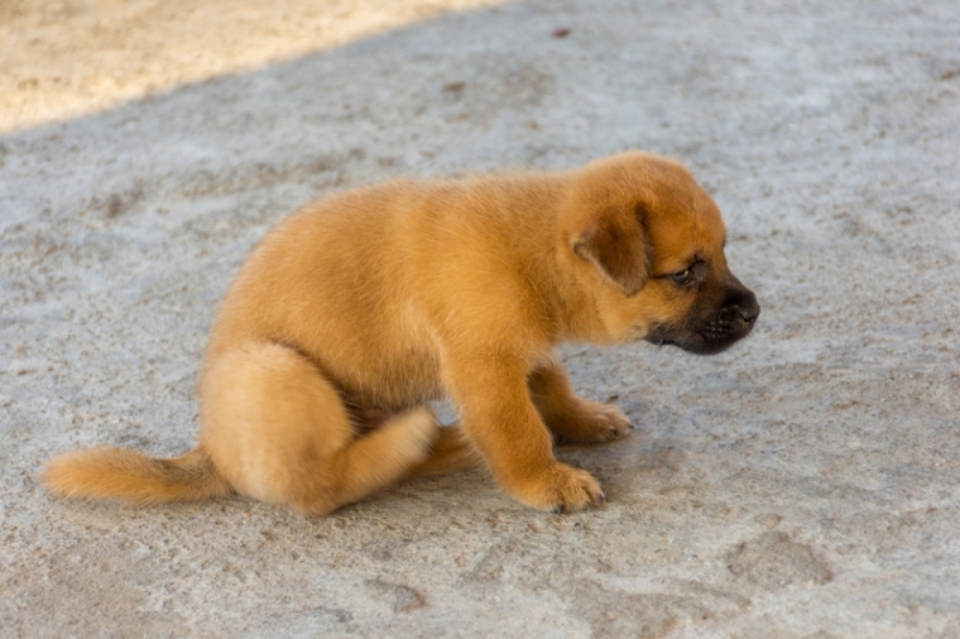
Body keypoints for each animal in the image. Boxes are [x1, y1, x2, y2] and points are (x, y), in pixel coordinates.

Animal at [43, 152, 756, 516]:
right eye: (686, 272)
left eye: (723, 253)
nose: (755, 312)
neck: (531, 250)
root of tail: (209, 452)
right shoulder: (483, 367)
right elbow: (518, 431)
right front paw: (547, 482)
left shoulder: (520, 351)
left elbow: (551, 386)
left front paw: (584, 420)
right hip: (273, 369)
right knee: (315, 492)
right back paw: (418, 442)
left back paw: (439, 444)